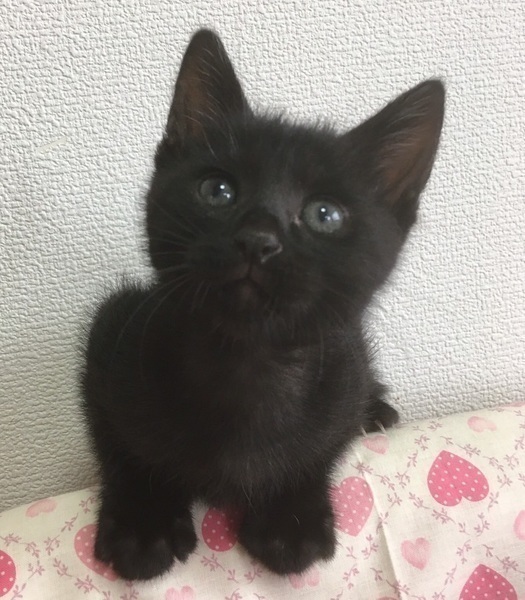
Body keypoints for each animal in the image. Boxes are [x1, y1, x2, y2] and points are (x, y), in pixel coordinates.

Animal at [80, 29, 444, 581]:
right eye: (217, 190)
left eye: (324, 214)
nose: (258, 239)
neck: (244, 365)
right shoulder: (113, 334)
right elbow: (122, 448)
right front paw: (144, 525)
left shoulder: (346, 366)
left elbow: (324, 445)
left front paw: (289, 517)